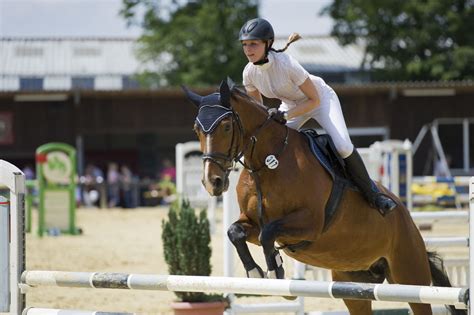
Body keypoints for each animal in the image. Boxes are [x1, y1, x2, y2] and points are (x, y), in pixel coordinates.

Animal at [182, 79, 466, 315]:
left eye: (226, 126)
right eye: (196, 129)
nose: (212, 182)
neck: (267, 163)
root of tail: (407, 219)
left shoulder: (310, 224)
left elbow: (268, 234)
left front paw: (276, 272)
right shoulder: (252, 222)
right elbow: (235, 232)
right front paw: (255, 273)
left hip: (410, 276)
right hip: (353, 288)